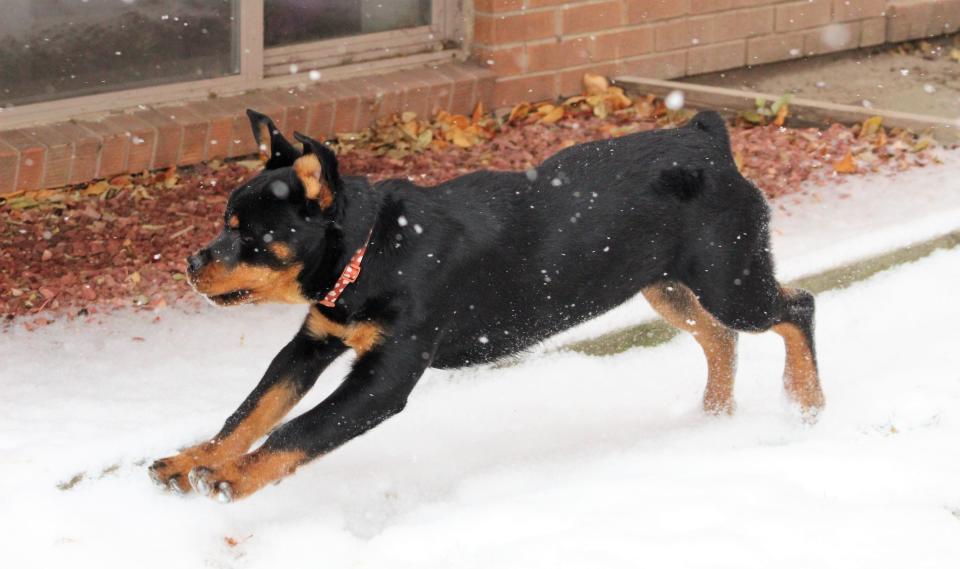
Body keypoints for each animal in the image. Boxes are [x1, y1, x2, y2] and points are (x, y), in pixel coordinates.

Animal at [150, 108, 824, 500]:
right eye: (226, 223)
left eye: (253, 236)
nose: (191, 265)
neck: (372, 250)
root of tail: (708, 138)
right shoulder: (312, 341)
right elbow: (252, 411)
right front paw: (193, 458)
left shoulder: (384, 378)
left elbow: (299, 429)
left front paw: (234, 477)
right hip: (669, 287)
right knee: (721, 339)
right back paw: (712, 416)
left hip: (730, 280)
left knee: (797, 309)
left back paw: (806, 404)